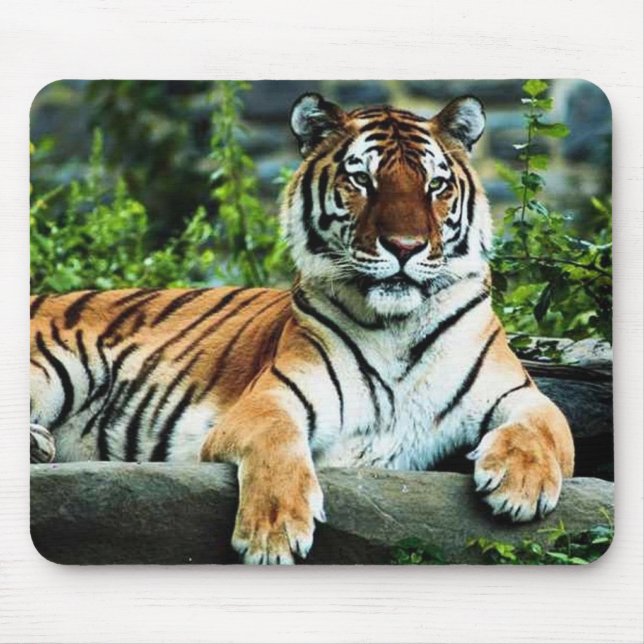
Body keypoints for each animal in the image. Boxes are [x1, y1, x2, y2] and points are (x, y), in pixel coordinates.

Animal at [30, 92, 575, 565]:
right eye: (362, 181)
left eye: (435, 186)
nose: (405, 246)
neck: (397, 326)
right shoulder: (272, 398)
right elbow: (277, 442)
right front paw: (273, 535)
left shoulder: (516, 391)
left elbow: (546, 424)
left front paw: (520, 487)